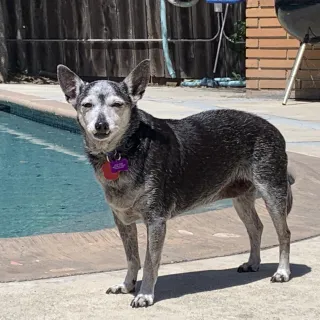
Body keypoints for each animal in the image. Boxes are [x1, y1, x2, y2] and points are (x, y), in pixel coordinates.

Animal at [57, 59, 296, 308]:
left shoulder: (156, 221)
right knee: (256, 228)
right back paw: (253, 262)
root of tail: (274, 129)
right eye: (87, 105)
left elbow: (150, 261)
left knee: (284, 233)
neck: (122, 151)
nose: (101, 125)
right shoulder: (122, 220)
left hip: (272, 192)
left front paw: (145, 294)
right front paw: (127, 285)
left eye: (117, 105)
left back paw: (282, 272)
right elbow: (132, 258)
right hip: (241, 199)